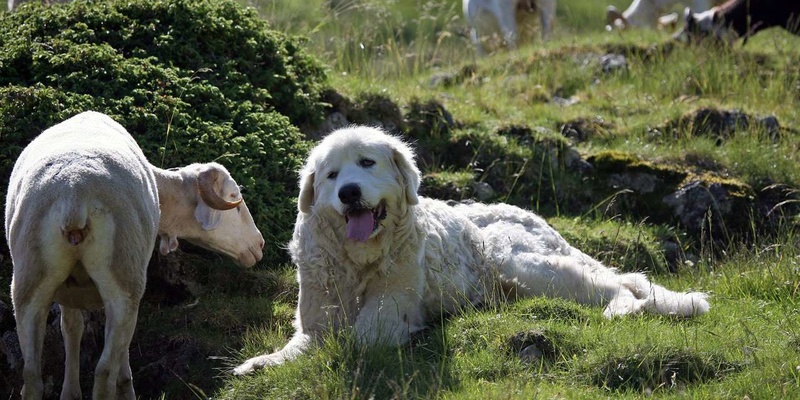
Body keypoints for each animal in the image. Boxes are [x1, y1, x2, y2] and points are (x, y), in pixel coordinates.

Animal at [4, 110, 266, 400]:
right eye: (234, 199)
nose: (259, 244)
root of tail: (74, 195)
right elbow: (122, 351)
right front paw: (126, 385)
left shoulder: (68, 291)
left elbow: (71, 328)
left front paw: (70, 392)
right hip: (124, 279)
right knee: (104, 370)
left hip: (29, 281)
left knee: (31, 374)